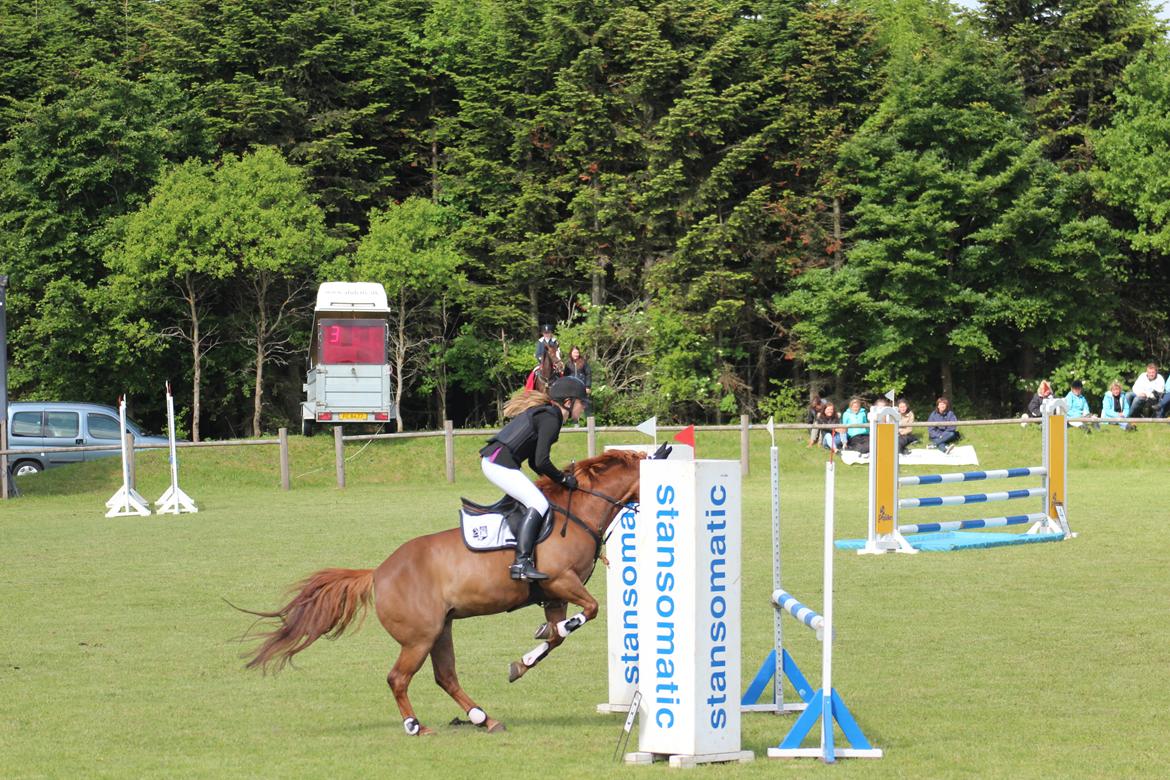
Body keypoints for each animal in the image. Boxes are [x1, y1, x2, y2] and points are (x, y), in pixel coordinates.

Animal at [242, 449, 655, 734]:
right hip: (419, 637)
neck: (579, 511)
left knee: (446, 677)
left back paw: (483, 718)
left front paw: (521, 663)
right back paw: (416, 726)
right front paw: (541, 645)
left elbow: (555, 637)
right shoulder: (560, 582)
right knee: (399, 678)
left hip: (442, 628)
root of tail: (378, 573)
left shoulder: (553, 596)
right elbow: (587, 613)